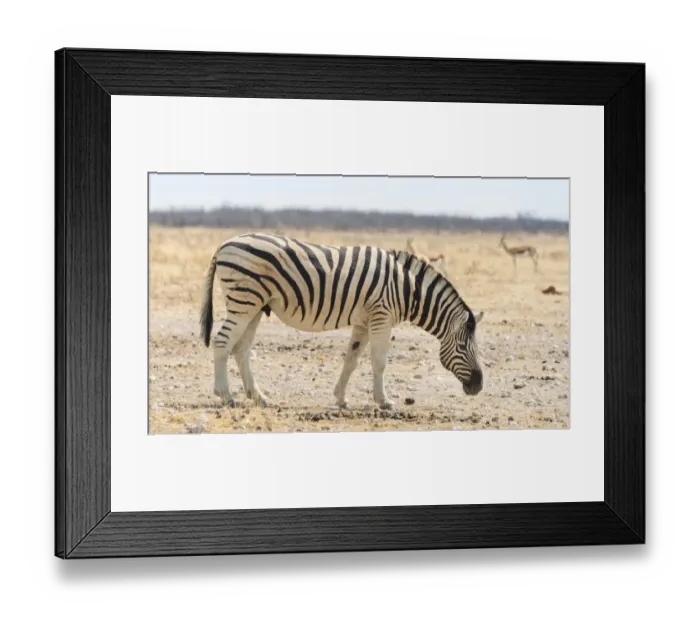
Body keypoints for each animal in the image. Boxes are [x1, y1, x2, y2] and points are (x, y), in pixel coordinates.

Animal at [199, 233, 484, 410]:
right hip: (243, 302)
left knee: (241, 349)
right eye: (463, 347)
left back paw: (259, 397)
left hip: (256, 306)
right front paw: (384, 401)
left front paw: (341, 399)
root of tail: (224, 244)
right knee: (222, 342)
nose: (478, 386)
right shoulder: (381, 317)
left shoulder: (364, 321)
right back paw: (226, 395)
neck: (407, 288)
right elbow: (379, 362)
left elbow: (352, 360)